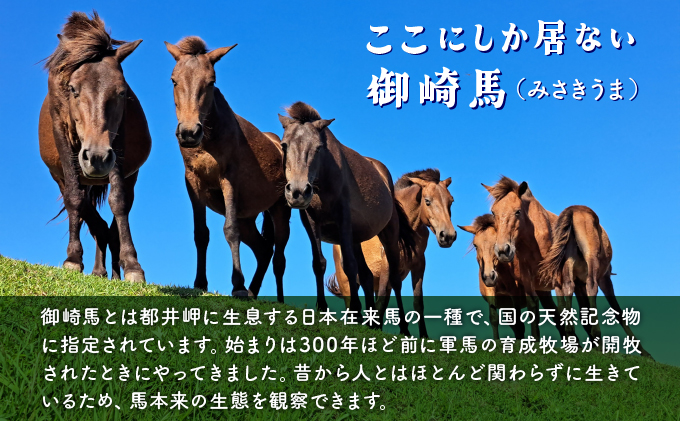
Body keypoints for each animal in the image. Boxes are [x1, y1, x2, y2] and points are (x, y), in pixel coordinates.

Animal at [39, 11, 150, 282]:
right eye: (72, 89)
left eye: (121, 92)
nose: (97, 158)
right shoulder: (63, 139)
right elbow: (75, 199)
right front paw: (72, 259)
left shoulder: (116, 147)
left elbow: (118, 201)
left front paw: (132, 266)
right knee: (88, 216)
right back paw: (99, 268)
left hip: (129, 175)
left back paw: (111, 271)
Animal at [164, 37, 291, 299]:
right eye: (174, 80)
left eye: (211, 81)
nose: (189, 132)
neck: (208, 140)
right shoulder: (193, 182)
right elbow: (201, 234)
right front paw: (200, 283)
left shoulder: (228, 179)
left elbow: (230, 231)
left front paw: (237, 286)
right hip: (248, 217)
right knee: (264, 251)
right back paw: (253, 292)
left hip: (280, 211)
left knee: (279, 258)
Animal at [277, 102, 416, 335]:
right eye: (284, 145)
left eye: (318, 148)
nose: (297, 191)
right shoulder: (311, 223)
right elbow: (319, 263)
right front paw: (323, 308)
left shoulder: (343, 220)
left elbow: (350, 267)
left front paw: (355, 313)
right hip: (357, 238)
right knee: (367, 275)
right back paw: (370, 322)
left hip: (388, 234)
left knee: (395, 280)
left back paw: (403, 329)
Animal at [326, 169, 456, 338]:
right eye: (427, 201)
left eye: (451, 201)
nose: (448, 236)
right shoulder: (388, 263)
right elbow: (390, 292)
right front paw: (402, 329)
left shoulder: (419, 265)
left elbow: (417, 301)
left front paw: (423, 335)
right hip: (346, 282)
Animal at [538, 205, 652, 358]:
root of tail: (573, 210)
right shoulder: (605, 278)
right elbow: (617, 310)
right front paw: (644, 352)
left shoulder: (579, 283)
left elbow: (583, 310)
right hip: (592, 256)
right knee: (592, 285)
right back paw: (598, 340)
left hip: (568, 260)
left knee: (568, 286)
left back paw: (571, 333)